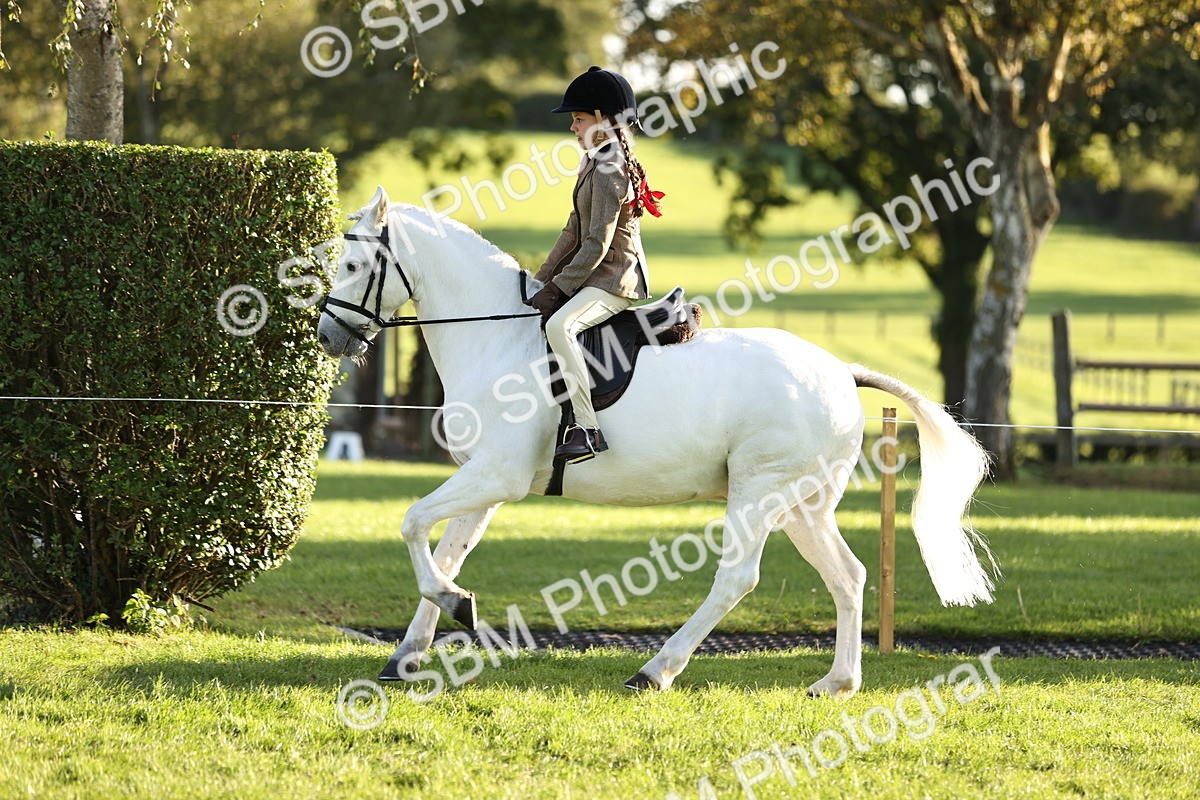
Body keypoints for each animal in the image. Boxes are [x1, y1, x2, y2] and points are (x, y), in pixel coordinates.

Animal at [315, 186, 995, 697]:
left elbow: (411, 523)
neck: (496, 337)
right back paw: (838, 683)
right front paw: (413, 647)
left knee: (737, 578)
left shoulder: (494, 477)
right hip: (803, 503)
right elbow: (447, 551)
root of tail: (839, 372)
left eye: (351, 267)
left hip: (758, 490)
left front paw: (453, 606)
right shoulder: (485, 482)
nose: (329, 337)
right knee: (848, 577)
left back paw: (656, 669)